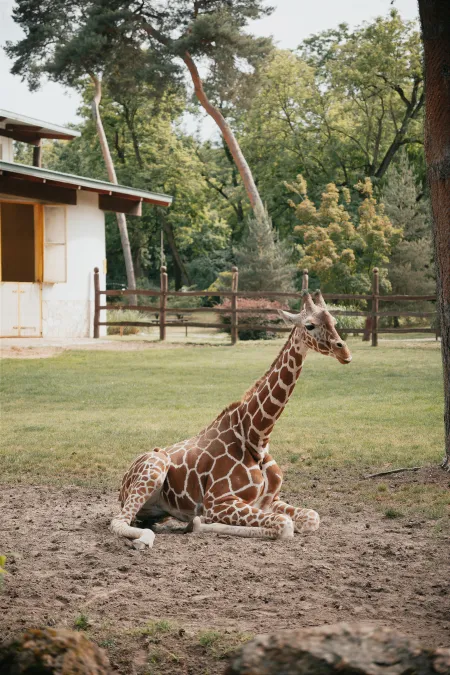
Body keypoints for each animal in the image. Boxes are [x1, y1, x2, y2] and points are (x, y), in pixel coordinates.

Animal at [110, 291, 352, 549]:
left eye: (334, 322)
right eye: (310, 325)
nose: (344, 352)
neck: (257, 436)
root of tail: (123, 482)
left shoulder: (270, 500)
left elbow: (312, 517)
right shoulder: (219, 502)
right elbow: (284, 524)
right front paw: (198, 523)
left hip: (157, 510)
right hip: (155, 467)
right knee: (118, 521)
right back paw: (145, 539)